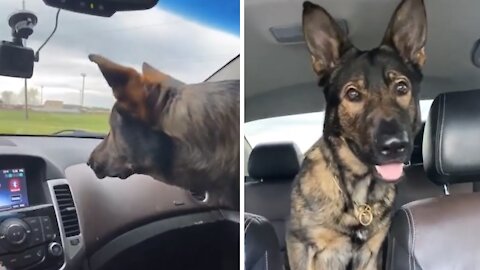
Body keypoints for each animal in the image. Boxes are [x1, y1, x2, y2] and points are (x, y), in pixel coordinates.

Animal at [286, 0, 426, 268]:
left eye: (401, 88)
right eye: (353, 94)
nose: (395, 146)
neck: (358, 198)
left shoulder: (371, 253)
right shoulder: (308, 250)